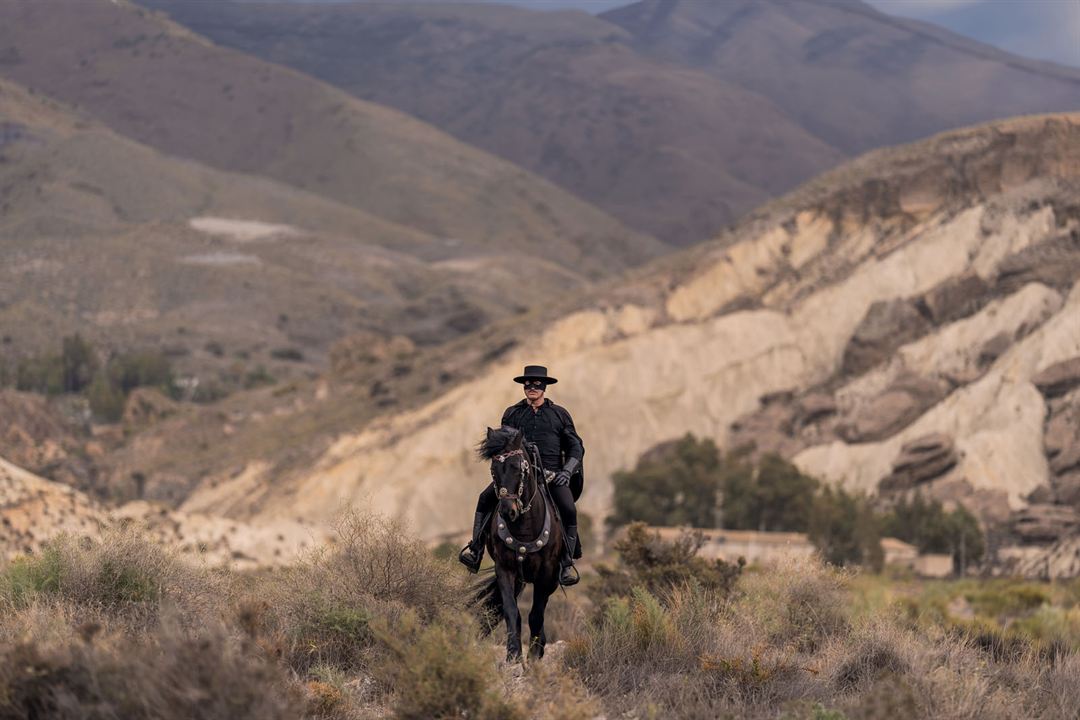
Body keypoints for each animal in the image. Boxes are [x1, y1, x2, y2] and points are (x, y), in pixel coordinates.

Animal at [475, 425, 565, 660]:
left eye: (518, 467)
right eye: (494, 469)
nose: (508, 511)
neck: (524, 528)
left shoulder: (546, 574)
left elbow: (536, 615)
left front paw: (533, 654)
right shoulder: (505, 569)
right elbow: (511, 611)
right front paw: (513, 654)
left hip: (552, 580)